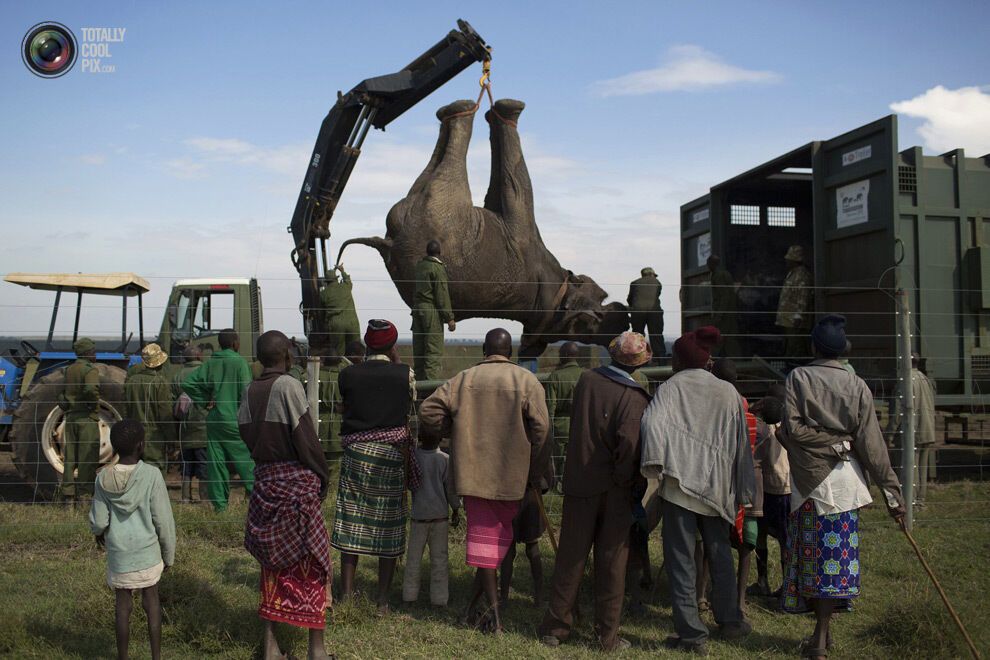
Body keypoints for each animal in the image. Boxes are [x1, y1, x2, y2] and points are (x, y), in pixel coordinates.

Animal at [340, 96, 632, 360]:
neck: (560, 294)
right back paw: (472, 108)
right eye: (603, 299)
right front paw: (501, 108)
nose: (625, 314)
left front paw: (499, 110)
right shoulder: (525, 242)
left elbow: (511, 190)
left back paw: (459, 110)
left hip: (437, 210)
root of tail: (387, 243)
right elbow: (513, 190)